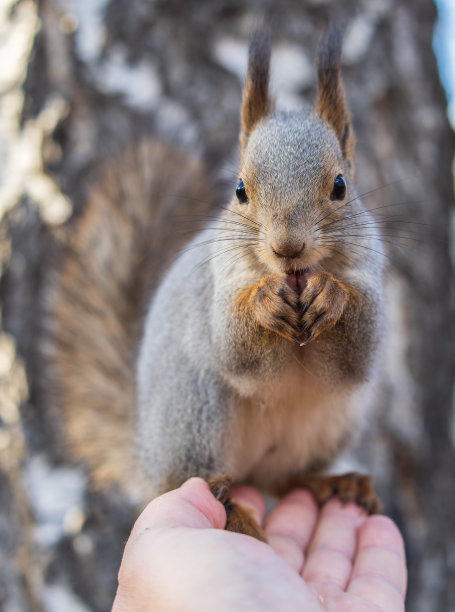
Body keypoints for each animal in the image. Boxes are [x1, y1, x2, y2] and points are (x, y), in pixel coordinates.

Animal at [42, 26, 384, 536]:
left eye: (340, 186)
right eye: (240, 190)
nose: (287, 247)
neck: (294, 280)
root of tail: (146, 450)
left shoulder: (371, 275)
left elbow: (356, 354)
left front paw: (331, 294)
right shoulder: (216, 287)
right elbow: (236, 349)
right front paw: (263, 302)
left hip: (334, 420)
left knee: (286, 480)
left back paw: (334, 484)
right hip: (195, 408)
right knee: (184, 479)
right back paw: (230, 507)